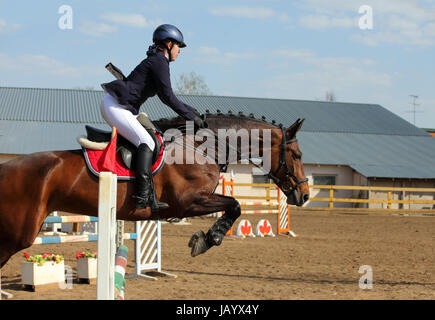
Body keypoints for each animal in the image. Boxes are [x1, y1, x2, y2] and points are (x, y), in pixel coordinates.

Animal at [0, 112, 310, 268]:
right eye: (296, 155)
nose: (304, 195)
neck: (203, 146)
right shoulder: (188, 202)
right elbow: (234, 205)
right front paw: (208, 239)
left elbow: (233, 205)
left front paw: (206, 237)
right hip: (18, 234)